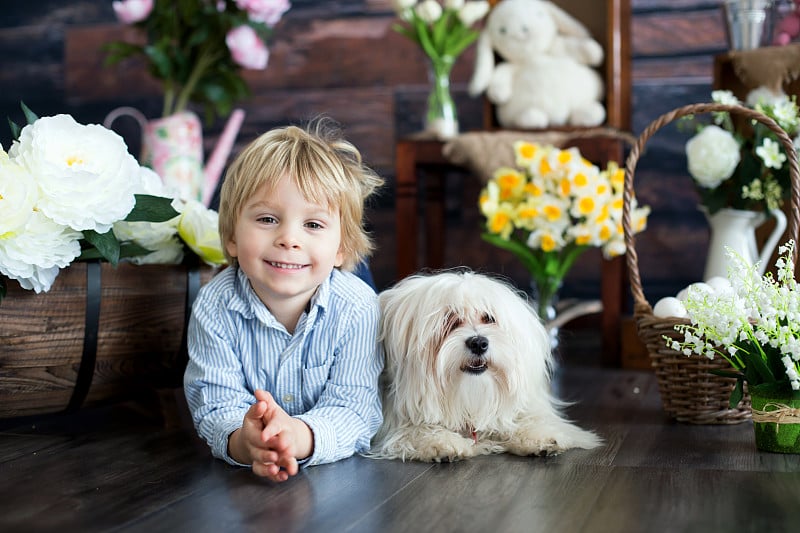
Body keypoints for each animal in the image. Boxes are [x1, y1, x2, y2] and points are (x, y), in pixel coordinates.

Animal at [368, 270, 600, 462]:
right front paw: (441, 442)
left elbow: (525, 419)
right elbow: (416, 429)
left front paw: (538, 436)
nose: (479, 343)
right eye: (449, 321)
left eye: (488, 318)